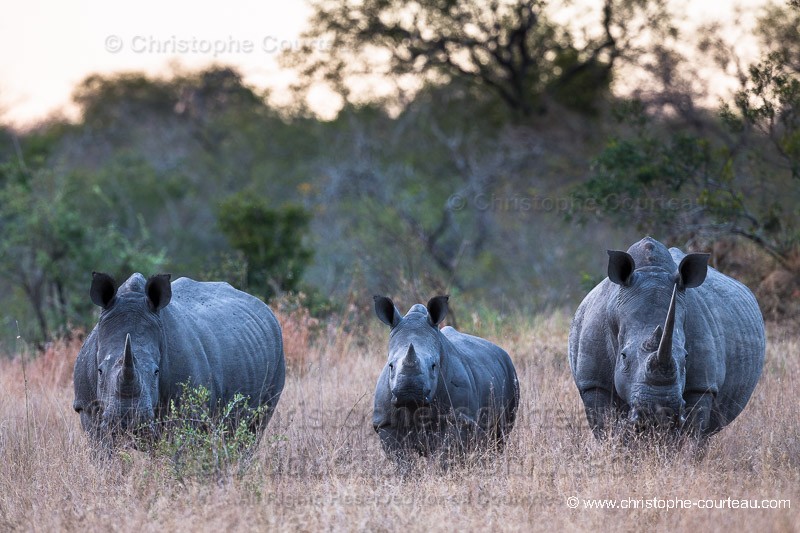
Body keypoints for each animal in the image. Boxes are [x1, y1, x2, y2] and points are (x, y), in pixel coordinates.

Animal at [72, 272, 284, 442]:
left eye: (156, 372)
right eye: (99, 371)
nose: (127, 419)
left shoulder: (187, 411)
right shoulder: (87, 407)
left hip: (277, 352)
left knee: (253, 428)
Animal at [370, 296, 520, 462]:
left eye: (434, 366)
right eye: (390, 365)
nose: (409, 392)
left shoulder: (459, 419)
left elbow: (447, 455)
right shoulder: (385, 423)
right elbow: (401, 459)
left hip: (510, 372)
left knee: (499, 438)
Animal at [564, 237, 764, 436]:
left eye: (686, 357)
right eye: (624, 356)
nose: (659, 411)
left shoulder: (702, 386)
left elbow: (694, 431)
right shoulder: (593, 382)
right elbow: (606, 427)